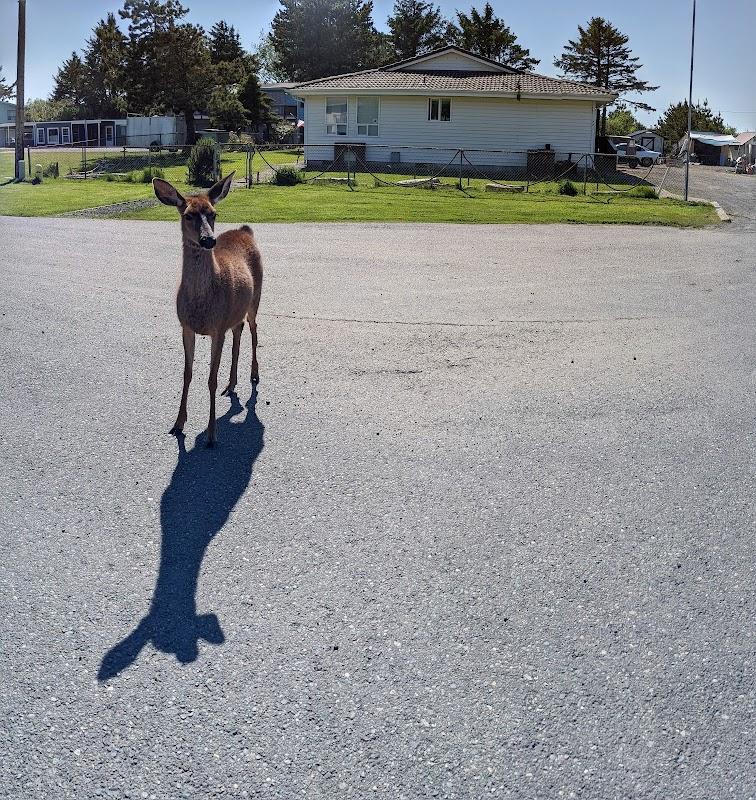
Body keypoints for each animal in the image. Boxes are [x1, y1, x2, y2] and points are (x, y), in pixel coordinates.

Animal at [152, 173, 264, 446]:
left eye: (213, 213)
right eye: (188, 215)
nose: (208, 240)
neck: (201, 303)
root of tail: (245, 231)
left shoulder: (216, 328)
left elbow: (211, 379)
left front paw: (212, 434)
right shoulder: (186, 326)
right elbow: (187, 374)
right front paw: (178, 423)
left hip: (255, 298)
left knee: (254, 330)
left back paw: (254, 375)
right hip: (235, 312)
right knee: (239, 332)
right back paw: (231, 384)